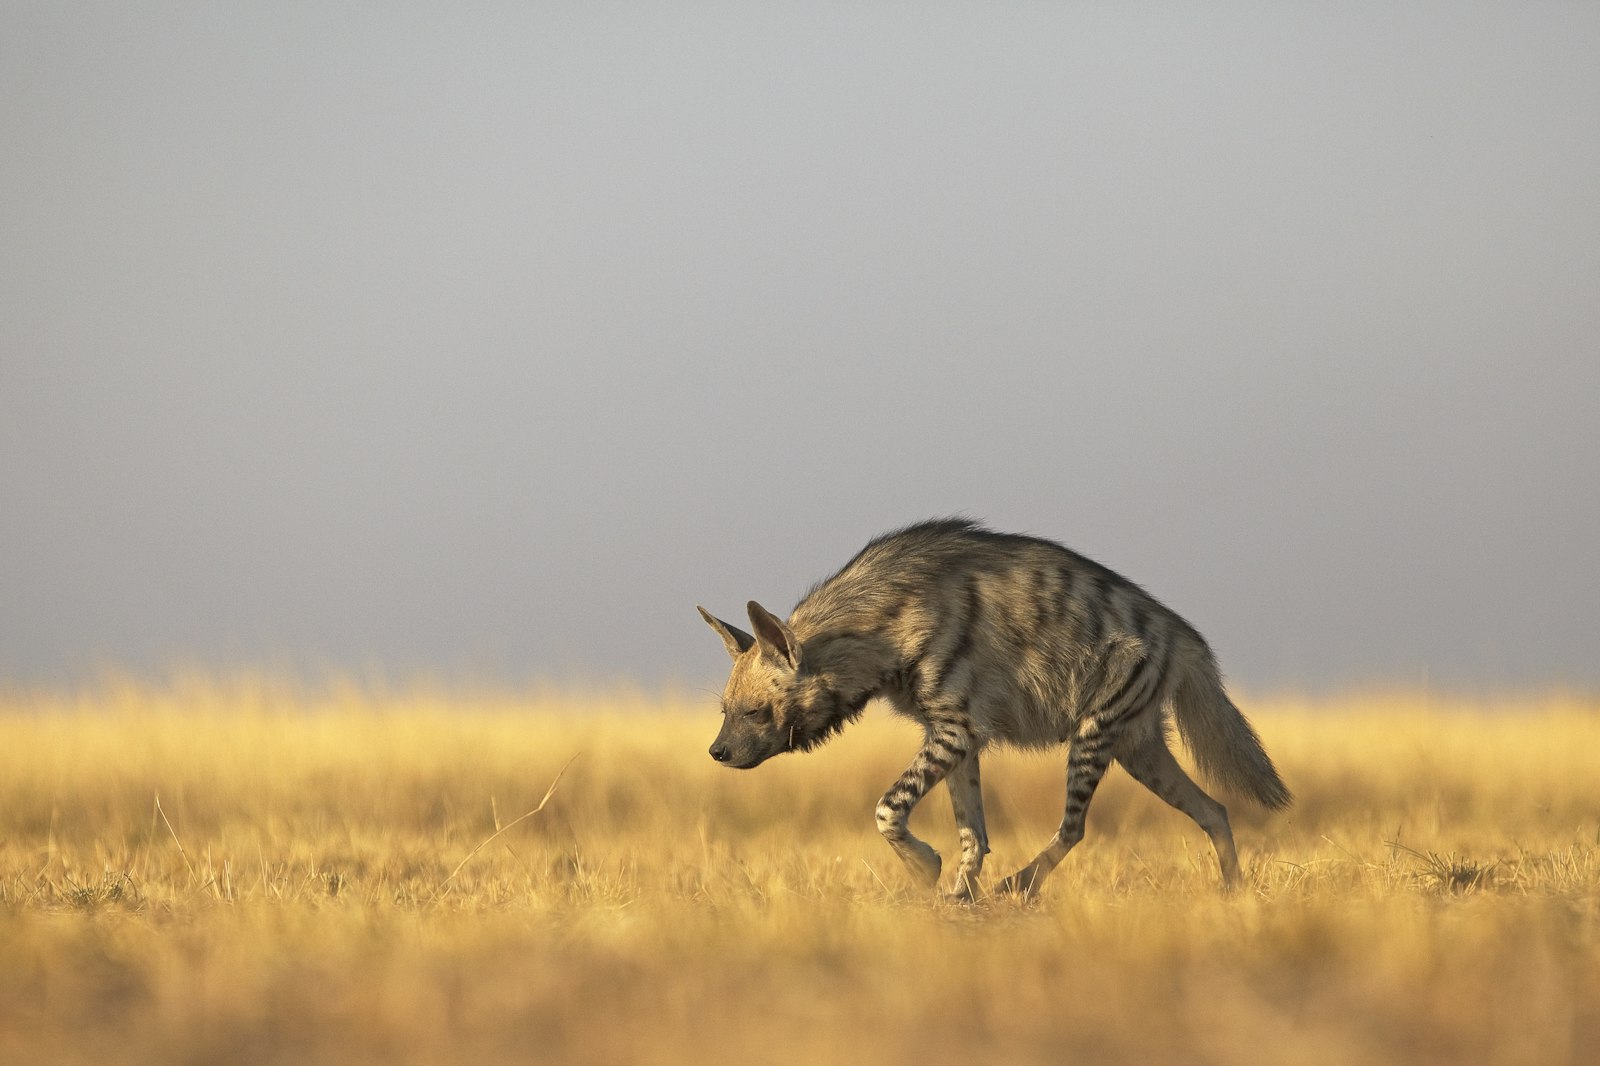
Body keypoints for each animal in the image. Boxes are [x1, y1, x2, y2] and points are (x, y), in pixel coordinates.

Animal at [698, 518, 1289, 899]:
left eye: (755, 712)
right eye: (726, 709)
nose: (716, 752)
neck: (882, 631)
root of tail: (1181, 632)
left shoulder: (957, 729)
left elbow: (888, 809)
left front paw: (925, 870)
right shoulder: (954, 732)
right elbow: (972, 834)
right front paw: (958, 897)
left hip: (1095, 733)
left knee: (1075, 826)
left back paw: (1020, 886)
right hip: (1138, 748)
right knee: (1214, 810)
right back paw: (1233, 895)